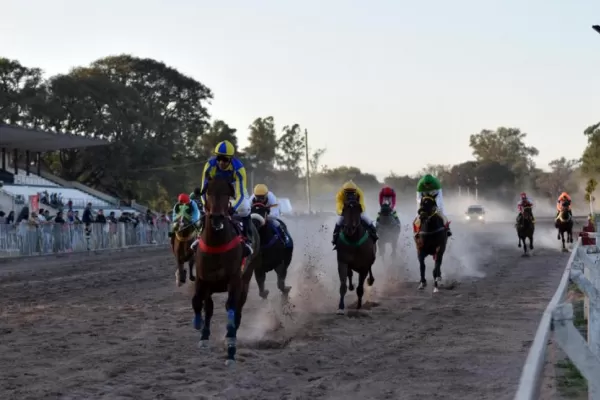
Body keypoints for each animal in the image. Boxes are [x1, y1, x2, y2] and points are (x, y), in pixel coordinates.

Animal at [191, 175, 258, 366]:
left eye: (227, 192)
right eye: (208, 192)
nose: (217, 217)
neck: (216, 244)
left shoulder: (235, 280)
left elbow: (231, 307)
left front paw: (231, 347)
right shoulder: (202, 278)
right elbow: (199, 302)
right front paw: (201, 330)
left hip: (246, 279)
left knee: (238, 309)